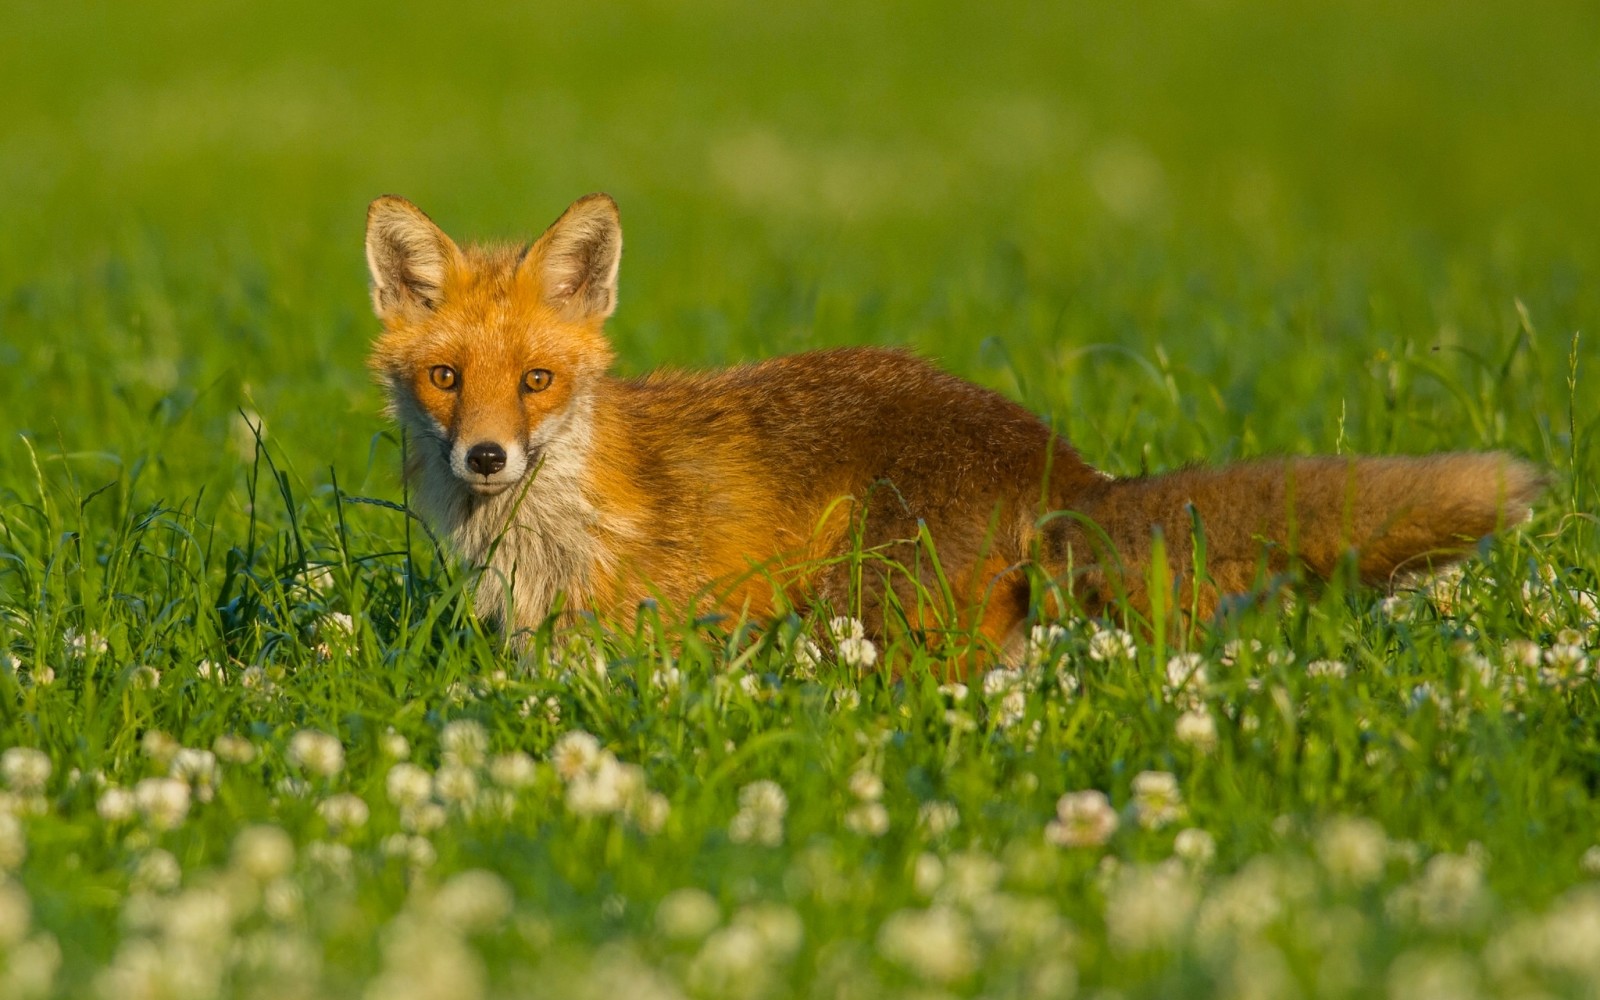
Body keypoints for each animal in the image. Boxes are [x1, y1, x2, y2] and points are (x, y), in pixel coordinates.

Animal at [363, 191, 1536, 665]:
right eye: (446, 377)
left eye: (539, 381)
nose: (485, 455)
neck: (548, 524)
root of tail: (1062, 466)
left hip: (883, 613)